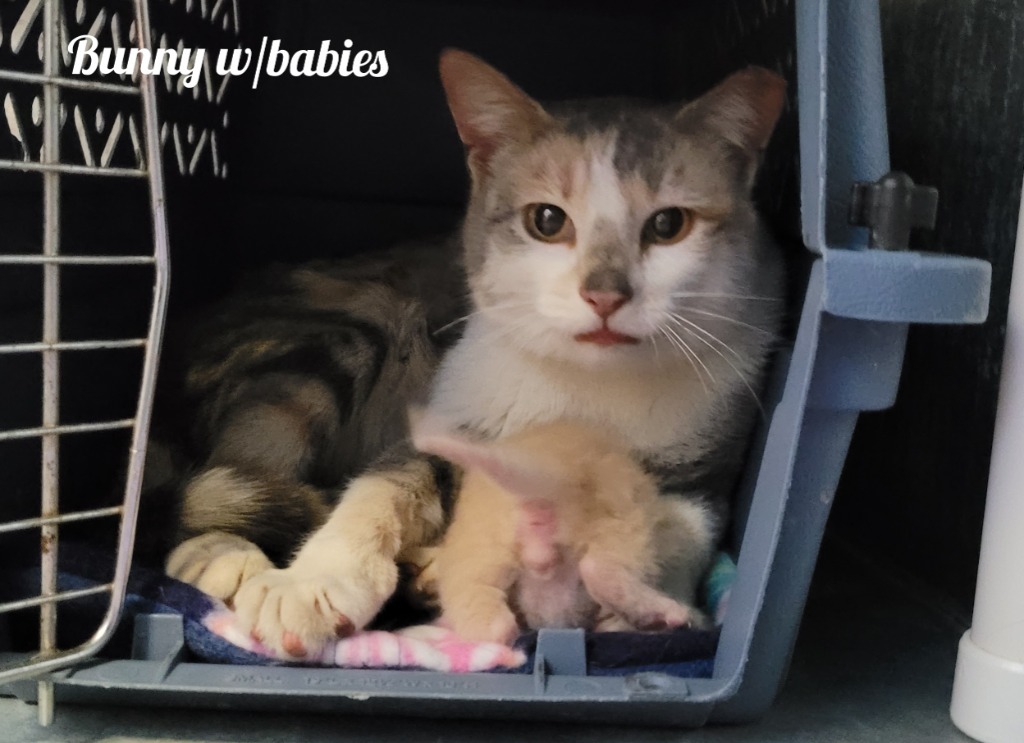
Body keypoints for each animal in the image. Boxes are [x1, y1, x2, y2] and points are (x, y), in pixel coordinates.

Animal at [163, 49, 786, 659]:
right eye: (547, 220)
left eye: (668, 223)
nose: (605, 294)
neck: (588, 382)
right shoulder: (447, 412)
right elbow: (382, 486)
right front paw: (311, 583)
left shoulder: (705, 466)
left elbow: (680, 528)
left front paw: (645, 606)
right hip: (345, 334)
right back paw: (225, 557)